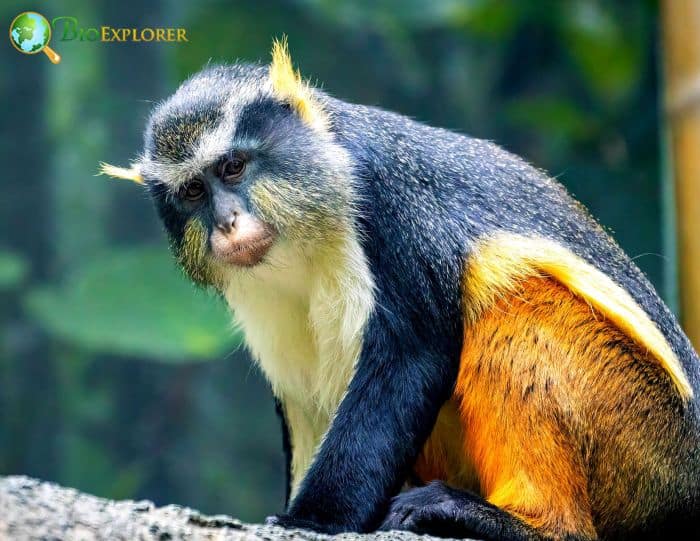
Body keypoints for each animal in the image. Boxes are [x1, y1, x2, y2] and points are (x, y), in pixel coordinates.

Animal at [100, 39, 700, 540]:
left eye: (232, 167)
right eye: (193, 192)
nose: (226, 223)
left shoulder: (386, 202)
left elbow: (411, 355)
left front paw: (314, 519)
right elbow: (302, 396)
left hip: (646, 446)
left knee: (516, 307)